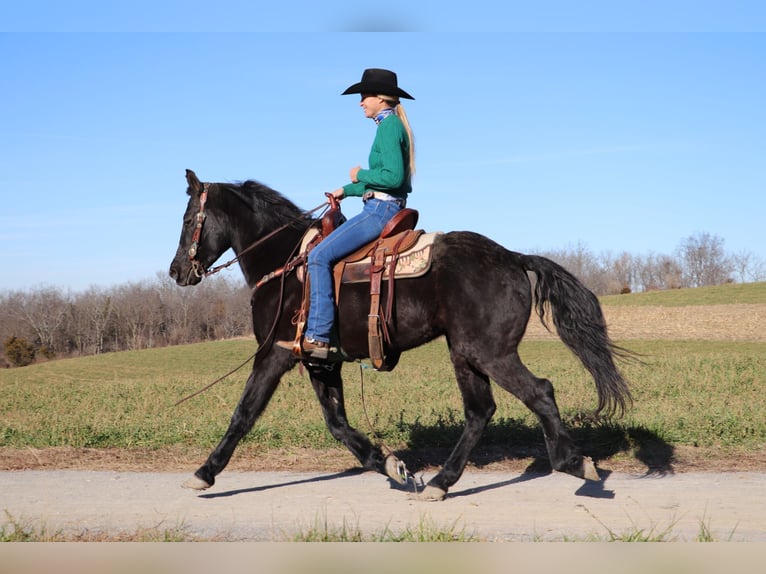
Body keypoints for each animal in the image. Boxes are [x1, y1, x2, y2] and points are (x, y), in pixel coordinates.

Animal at [171, 170, 632, 500]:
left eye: (190, 219)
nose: (177, 271)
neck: (286, 262)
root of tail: (511, 257)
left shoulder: (275, 354)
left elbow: (244, 414)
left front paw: (204, 473)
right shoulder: (320, 361)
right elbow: (338, 424)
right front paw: (390, 466)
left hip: (490, 352)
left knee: (539, 393)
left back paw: (575, 463)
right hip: (465, 353)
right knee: (480, 411)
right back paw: (441, 483)